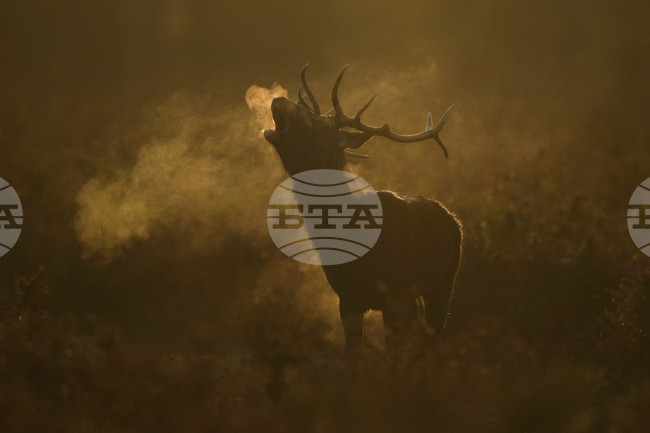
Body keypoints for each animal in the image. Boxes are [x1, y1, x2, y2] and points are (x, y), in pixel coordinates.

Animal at [263, 65, 462, 354]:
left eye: (320, 123)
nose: (279, 99)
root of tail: (452, 219)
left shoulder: (395, 294)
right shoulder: (347, 298)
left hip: (445, 280)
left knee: (433, 336)